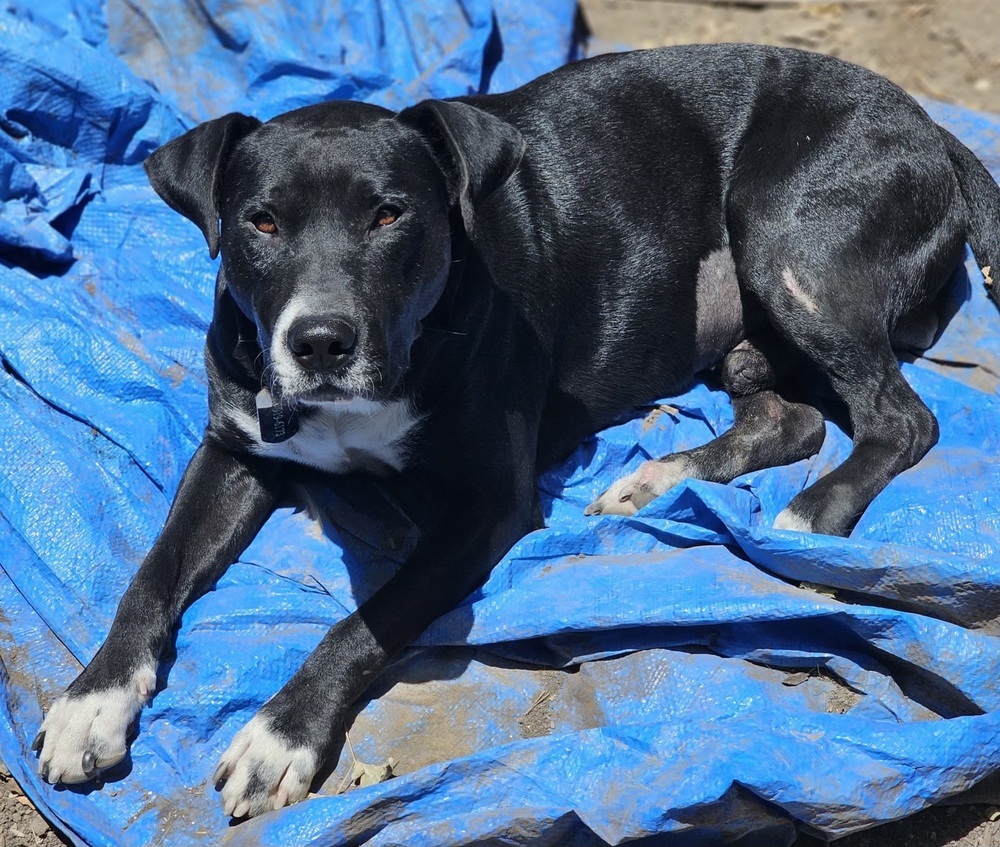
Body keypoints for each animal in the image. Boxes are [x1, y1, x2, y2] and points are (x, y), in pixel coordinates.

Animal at [33, 43, 1000, 820]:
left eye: (390, 214)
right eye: (259, 221)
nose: (320, 341)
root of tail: (925, 121)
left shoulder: (486, 506)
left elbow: (368, 618)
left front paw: (280, 735)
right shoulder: (237, 448)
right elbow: (152, 572)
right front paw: (91, 699)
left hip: (793, 244)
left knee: (901, 417)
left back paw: (807, 520)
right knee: (790, 417)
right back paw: (658, 479)